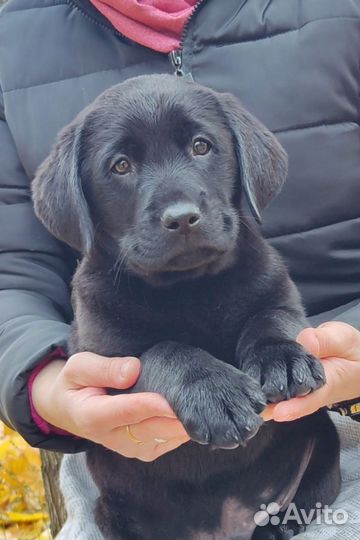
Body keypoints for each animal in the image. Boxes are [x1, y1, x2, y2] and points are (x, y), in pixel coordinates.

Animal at [31, 73, 340, 540]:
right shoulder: (106, 358)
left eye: (201, 146)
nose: (181, 217)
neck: (189, 287)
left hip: (324, 449)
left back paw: (274, 528)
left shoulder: (280, 295)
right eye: (120, 166)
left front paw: (283, 361)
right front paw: (215, 392)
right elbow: (165, 351)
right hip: (111, 511)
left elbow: (270, 319)